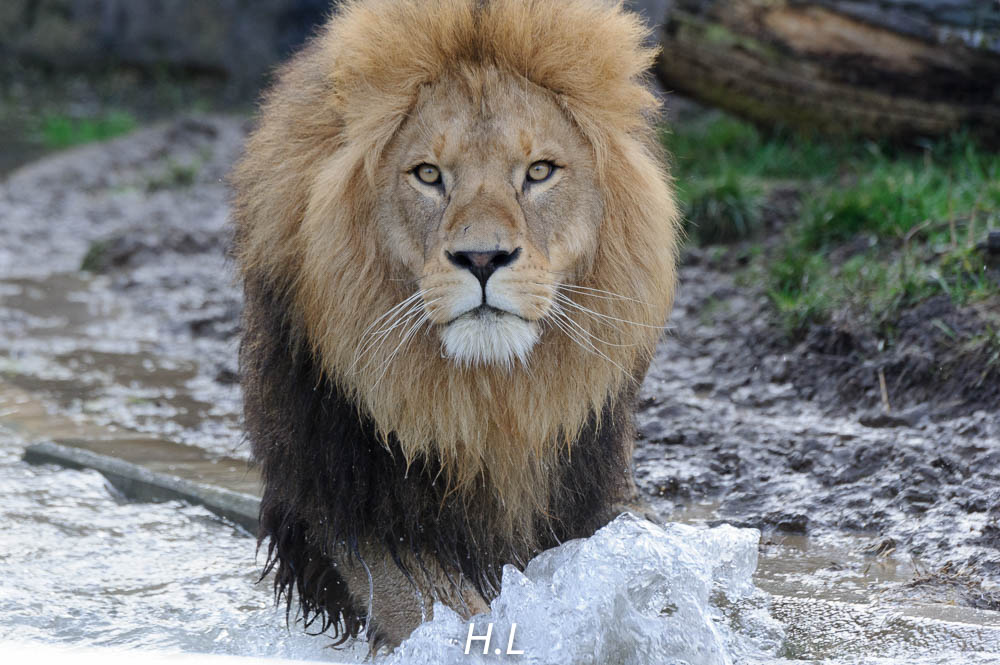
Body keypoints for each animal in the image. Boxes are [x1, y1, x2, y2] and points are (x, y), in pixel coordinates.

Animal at [230, 0, 680, 650]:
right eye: (427, 174)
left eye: (539, 171)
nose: (483, 258)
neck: (486, 402)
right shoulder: (357, 513)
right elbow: (452, 621)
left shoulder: (597, 482)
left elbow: (659, 568)